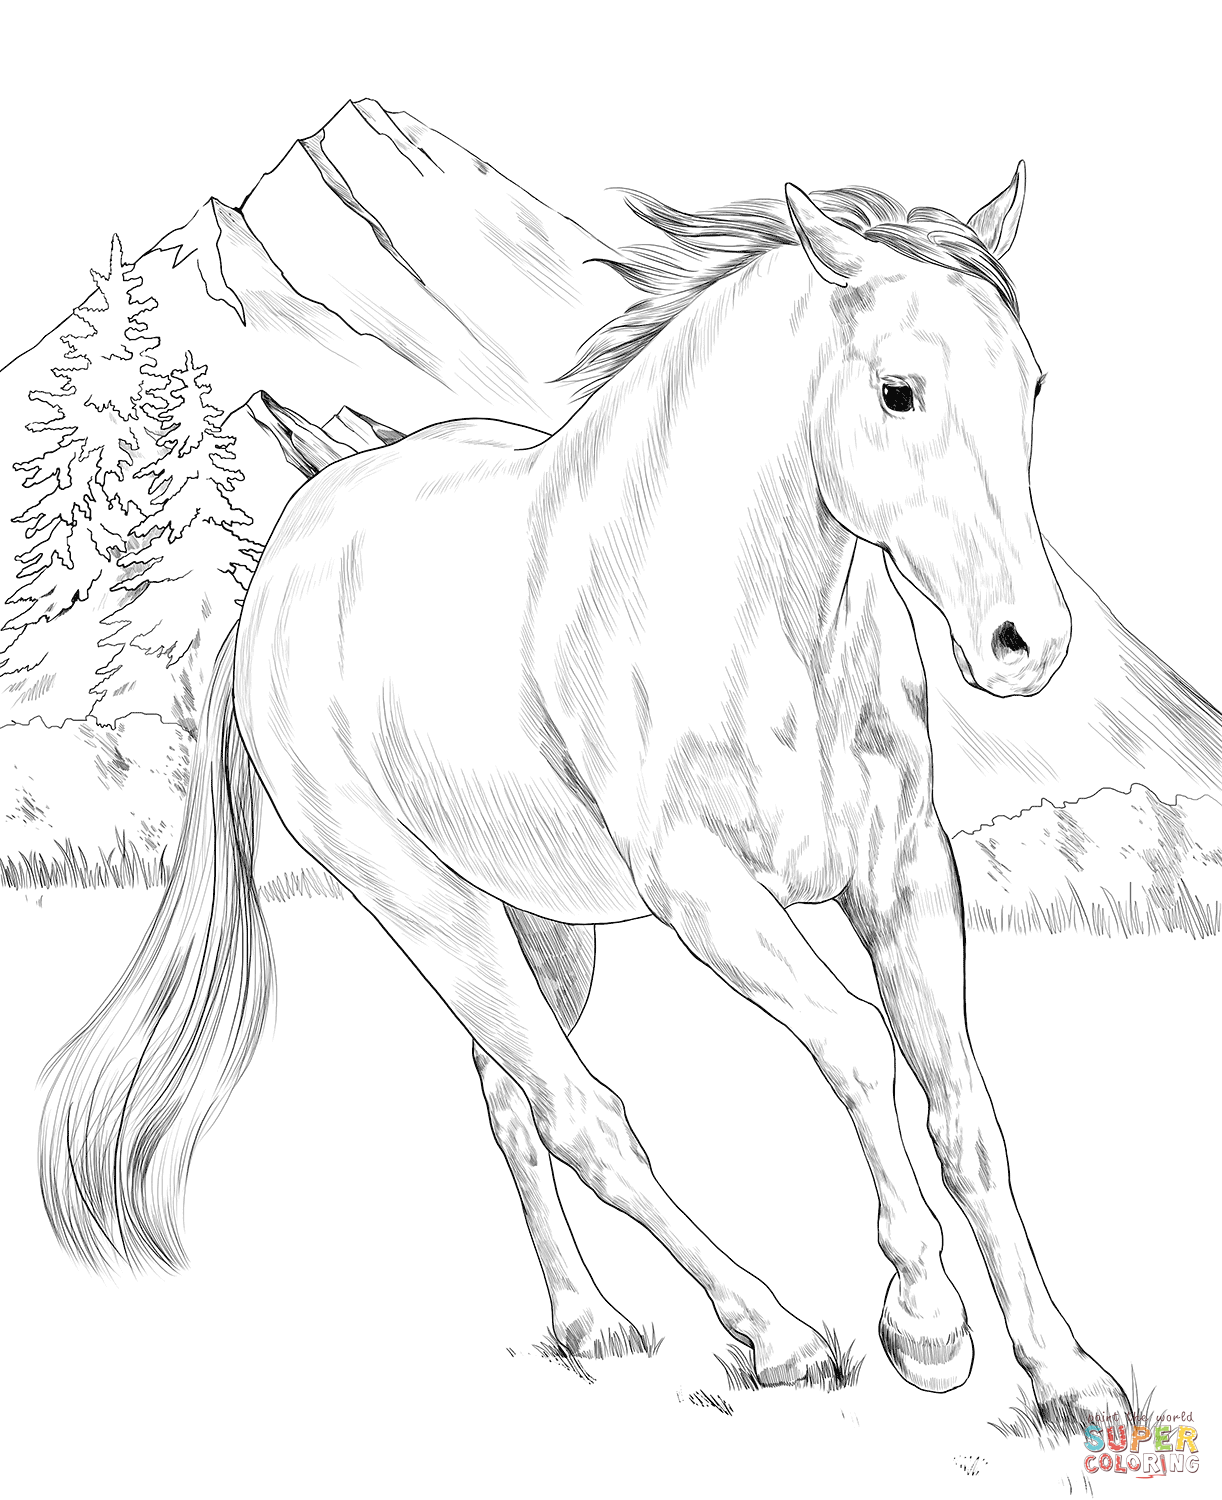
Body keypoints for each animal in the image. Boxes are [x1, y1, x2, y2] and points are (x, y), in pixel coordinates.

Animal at [39, 161, 1130, 1428]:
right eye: (897, 391)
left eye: (1032, 383)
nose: (1026, 645)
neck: (756, 621)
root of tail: (288, 560)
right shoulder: (706, 894)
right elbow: (859, 1049)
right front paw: (925, 1323)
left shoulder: (902, 872)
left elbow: (964, 1107)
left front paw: (1066, 1373)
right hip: (428, 906)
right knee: (581, 1113)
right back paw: (773, 1334)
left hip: (546, 924)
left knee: (512, 1098)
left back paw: (589, 1321)